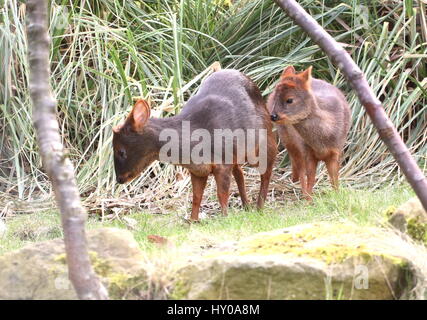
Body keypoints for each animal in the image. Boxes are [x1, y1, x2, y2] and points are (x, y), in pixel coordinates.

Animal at [112, 69, 278, 220]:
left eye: (121, 151)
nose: (119, 179)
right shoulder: (198, 170)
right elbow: (196, 197)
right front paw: (192, 221)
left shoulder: (223, 161)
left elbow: (221, 193)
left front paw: (224, 217)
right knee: (240, 172)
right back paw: (246, 206)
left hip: (264, 143)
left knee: (267, 171)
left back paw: (259, 207)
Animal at [270, 66, 352, 199]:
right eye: (276, 97)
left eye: (290, 100)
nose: (273, 116)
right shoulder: (307, 151)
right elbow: (310, 179)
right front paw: (308, 200)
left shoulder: (336, 150)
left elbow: (334, 179)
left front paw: (337, 196)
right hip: (288, 140)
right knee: (299, 168)